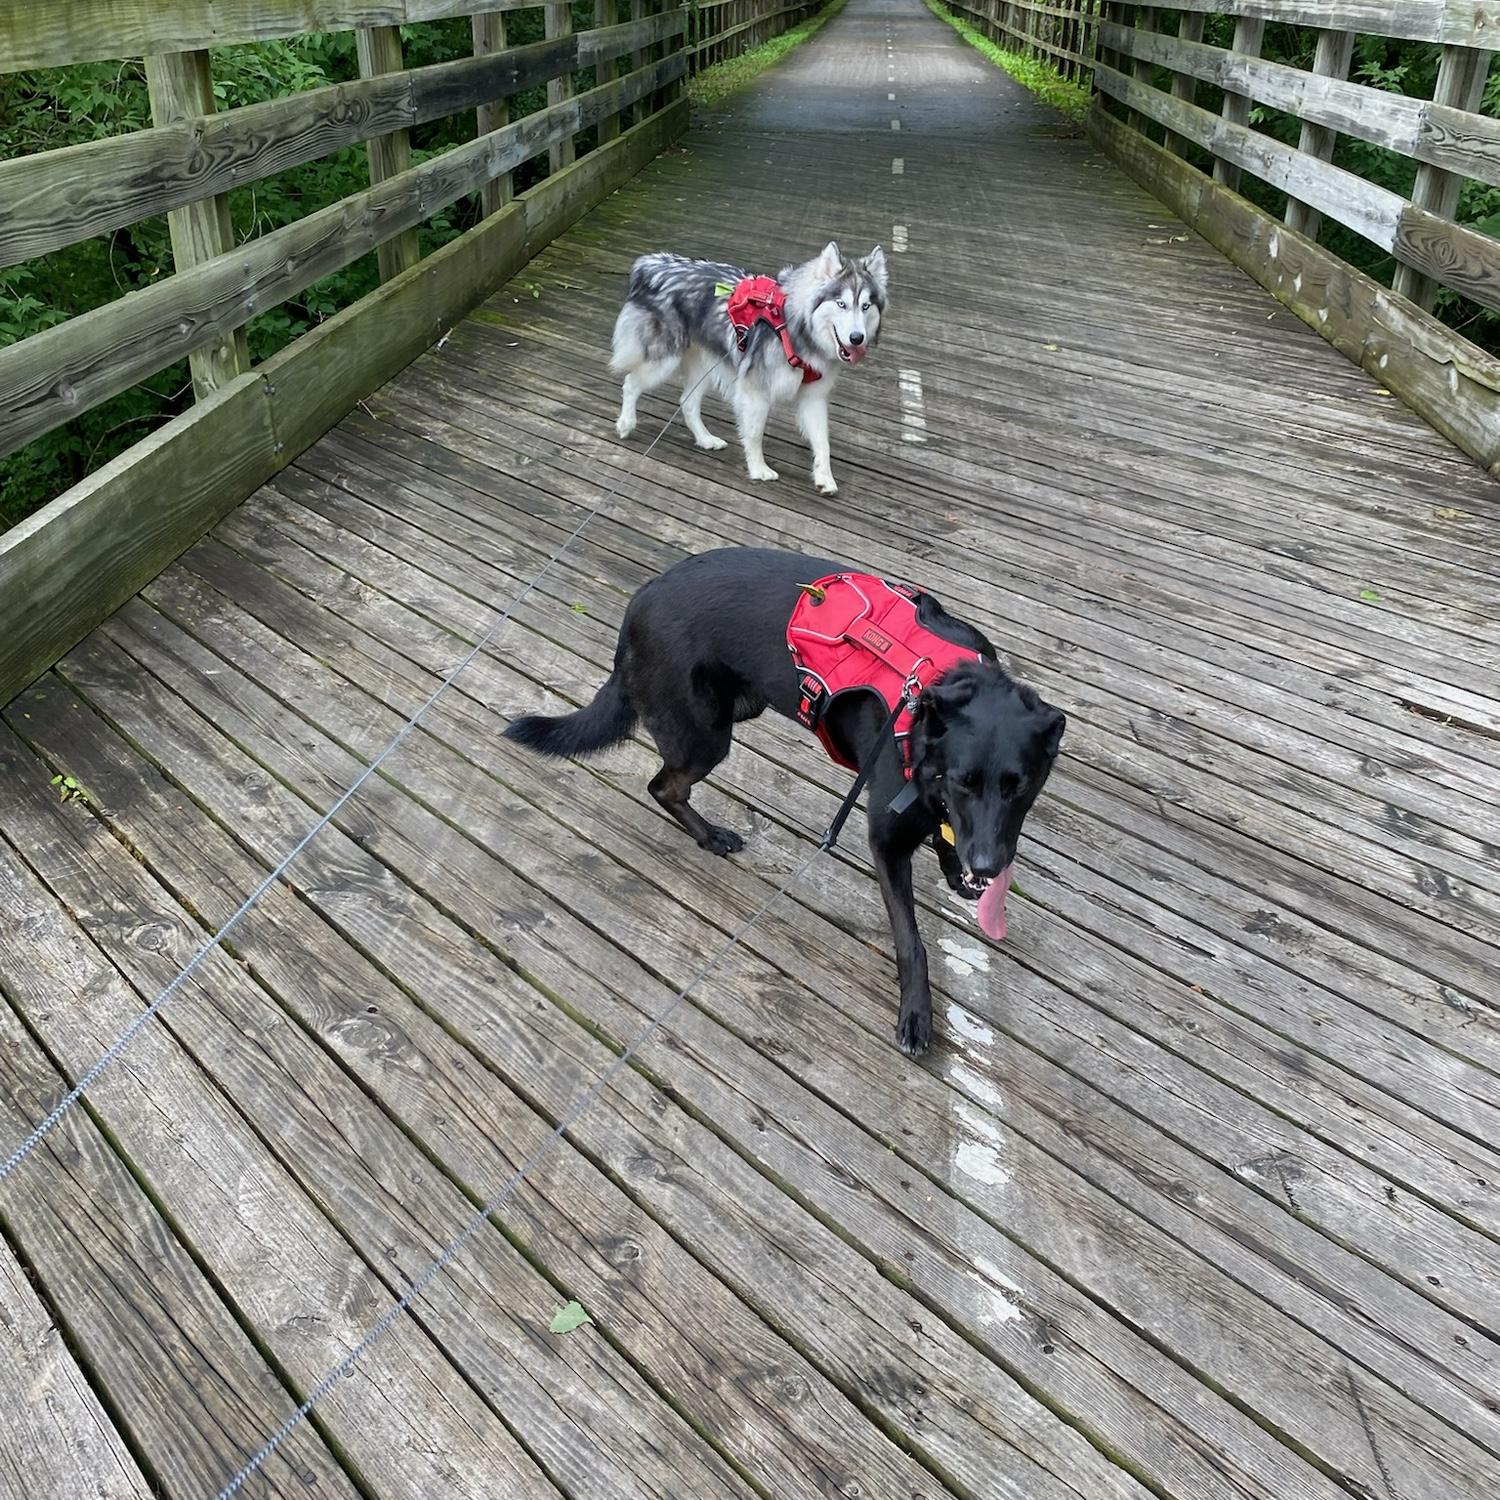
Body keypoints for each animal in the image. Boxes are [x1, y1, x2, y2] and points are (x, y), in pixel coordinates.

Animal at [507, 549, 1068, 1056]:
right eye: (963, 781)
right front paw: (915, 1014)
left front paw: (956, 870)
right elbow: (912, 943)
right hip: (707, 736)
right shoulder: (886, 841)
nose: (988, 868)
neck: (934, 694)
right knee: (664, 787)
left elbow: (945, 834)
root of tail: (636, 605)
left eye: (1020, 787)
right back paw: (710, 836)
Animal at [612, 241, 888, 498]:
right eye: (841, 304)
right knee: (631, 382)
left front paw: (824, 478)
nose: (857, 338)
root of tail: (652, 263)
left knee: (687, 402)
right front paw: (758, 469)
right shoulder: (756, 390)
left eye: (865, 306)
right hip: (664, 361)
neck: (797, 328)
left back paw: (705, 439)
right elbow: (754, 434)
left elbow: (822, 441)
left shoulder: (814, 397)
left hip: (705, 365)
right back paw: (626, 423)